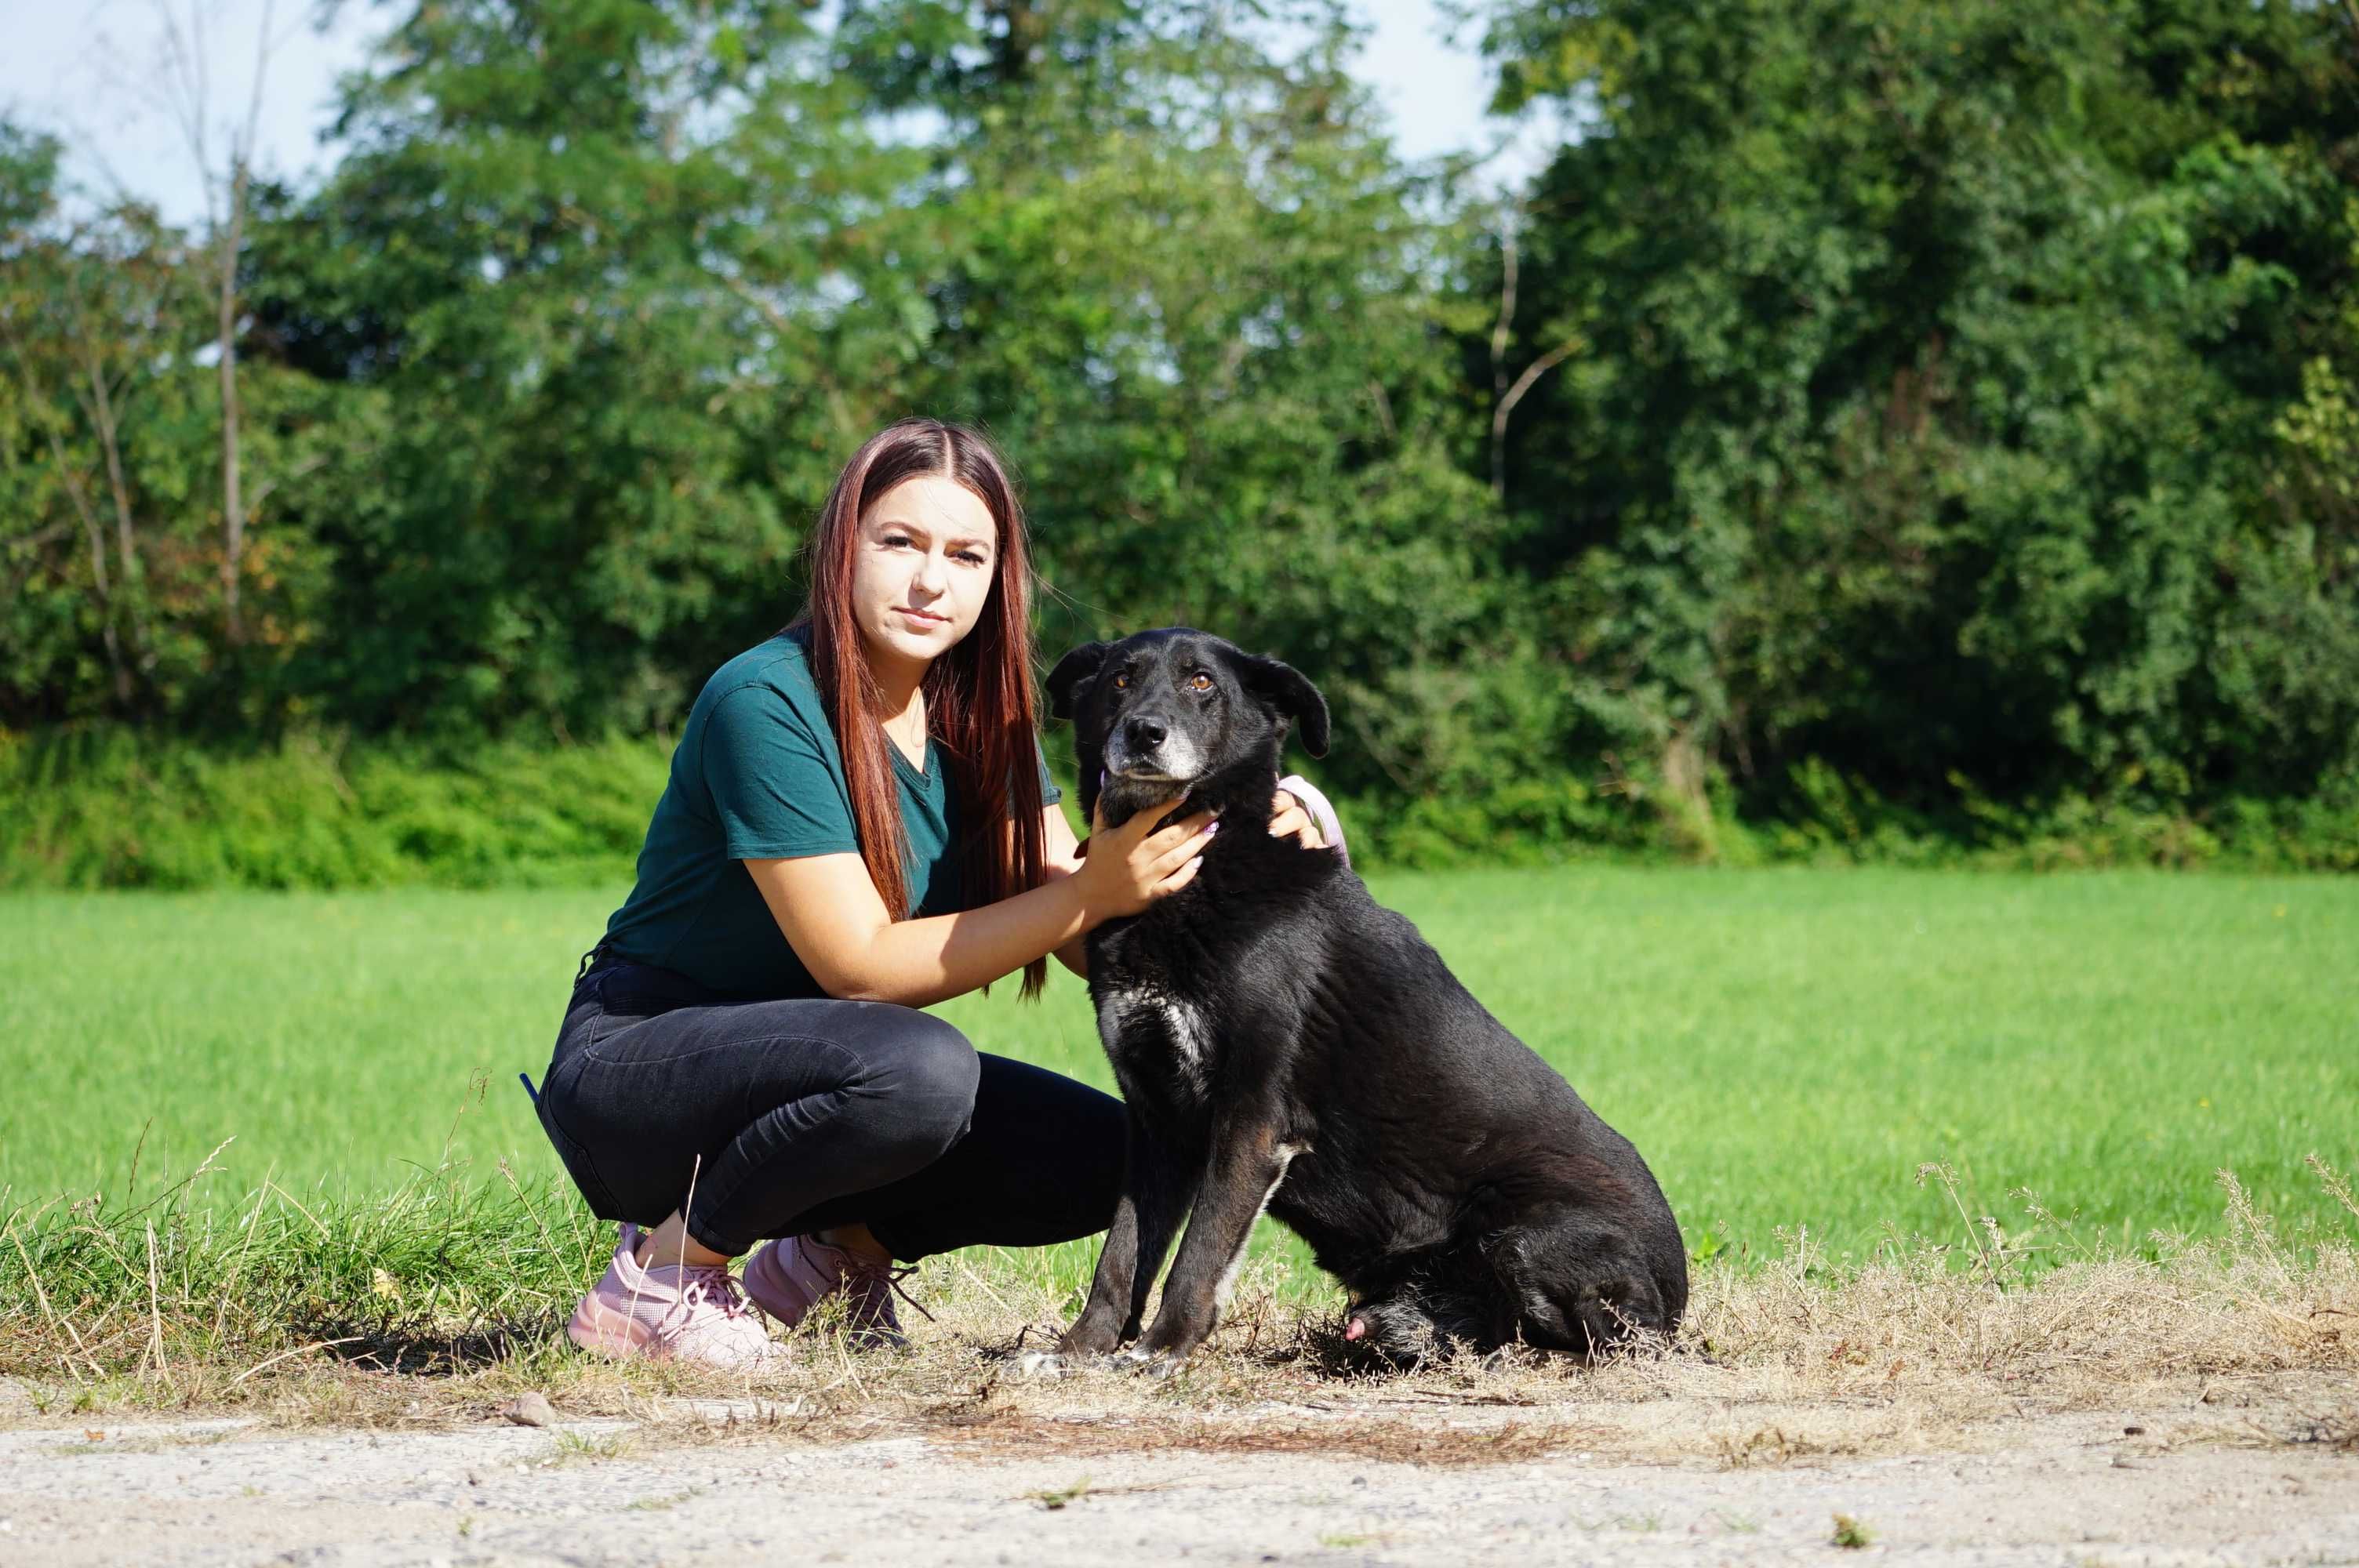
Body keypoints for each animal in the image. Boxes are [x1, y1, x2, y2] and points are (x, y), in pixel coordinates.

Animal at [1042, 627, 1688, 1367]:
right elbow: (1121, 1254)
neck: (1197, 872)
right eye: (1120, 680)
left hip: (1526, 1234)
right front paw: (1078, 1351)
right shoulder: (1157, 1120)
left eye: (1201, 682)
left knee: (1594, 1340)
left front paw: (1162, 1351)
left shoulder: (1253, 1121)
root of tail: (1677, 1297)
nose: (1144, 732)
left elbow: (1197, 1256)